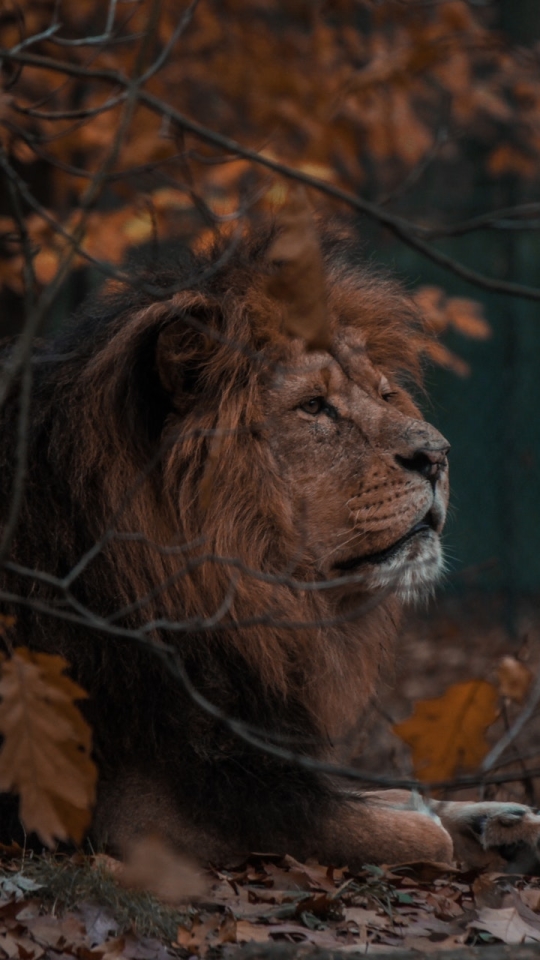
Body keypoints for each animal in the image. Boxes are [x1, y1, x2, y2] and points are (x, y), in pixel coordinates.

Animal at [1, 227, 540, 872]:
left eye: (386, 394)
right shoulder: (142, 812)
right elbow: (408, 830)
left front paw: (501, 818)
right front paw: (447, 826)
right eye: (313, 407)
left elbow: (390, 795)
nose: (438, 455)